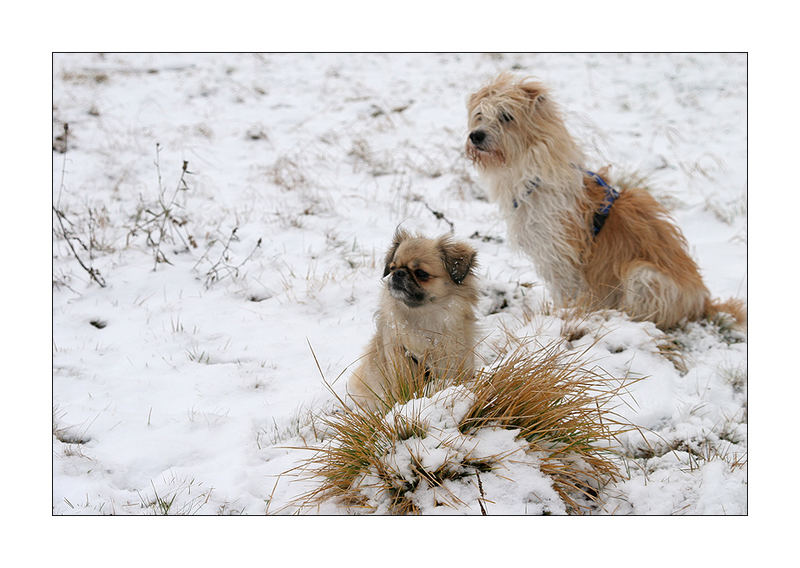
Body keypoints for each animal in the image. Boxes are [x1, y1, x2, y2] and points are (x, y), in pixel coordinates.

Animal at [466, 72, 748, 328]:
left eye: (506, 116)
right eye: (480, 115)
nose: (475, 136)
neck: (533, 177)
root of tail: (704, 303)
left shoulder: (562, 257)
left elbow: (567, 294)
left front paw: (561, 317)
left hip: (644, 275)